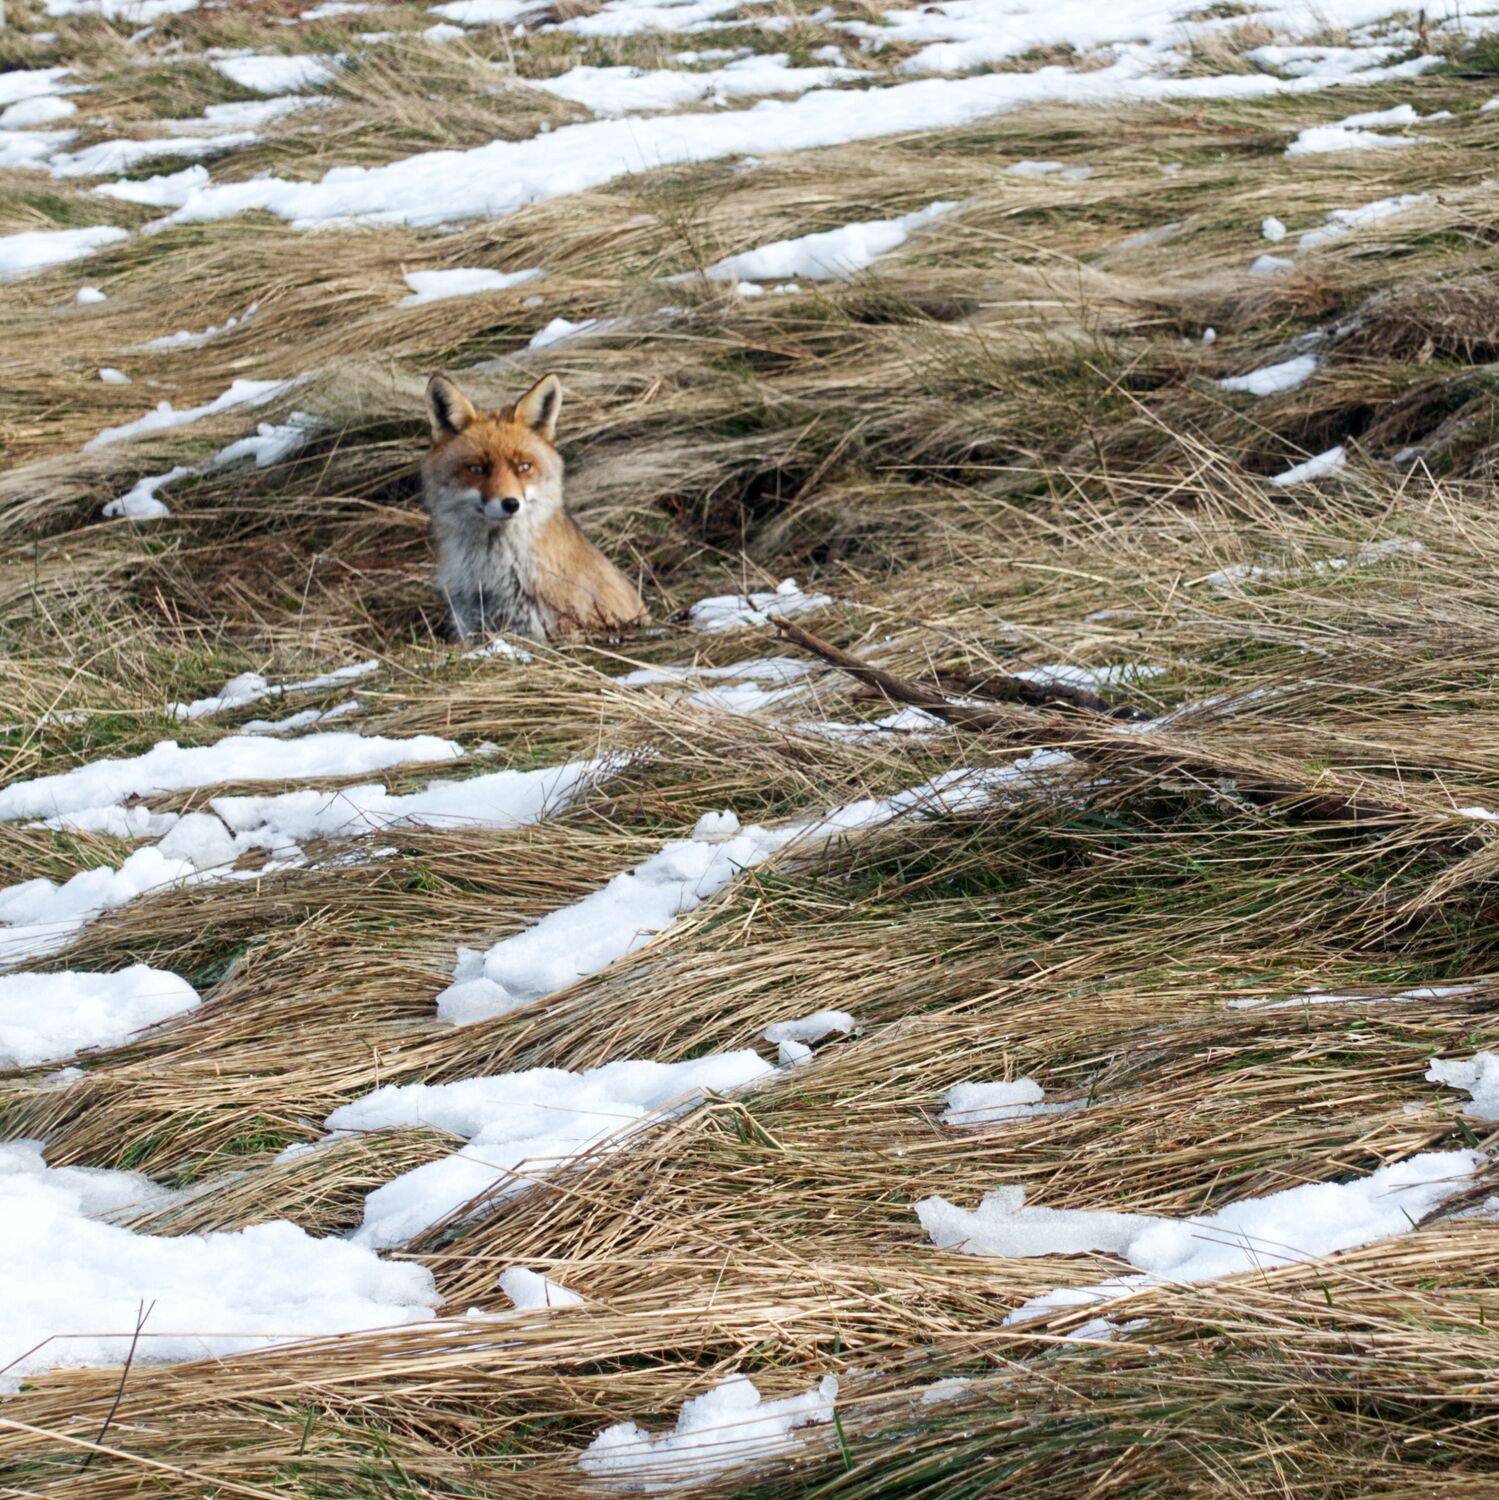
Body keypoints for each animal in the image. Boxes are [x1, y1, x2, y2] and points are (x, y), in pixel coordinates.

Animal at [421, 371, 648, 642]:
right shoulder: (471, 626)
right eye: (477, 468)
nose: (510, 504)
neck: (491, 577)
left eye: (524, 467)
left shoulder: (548, 629)